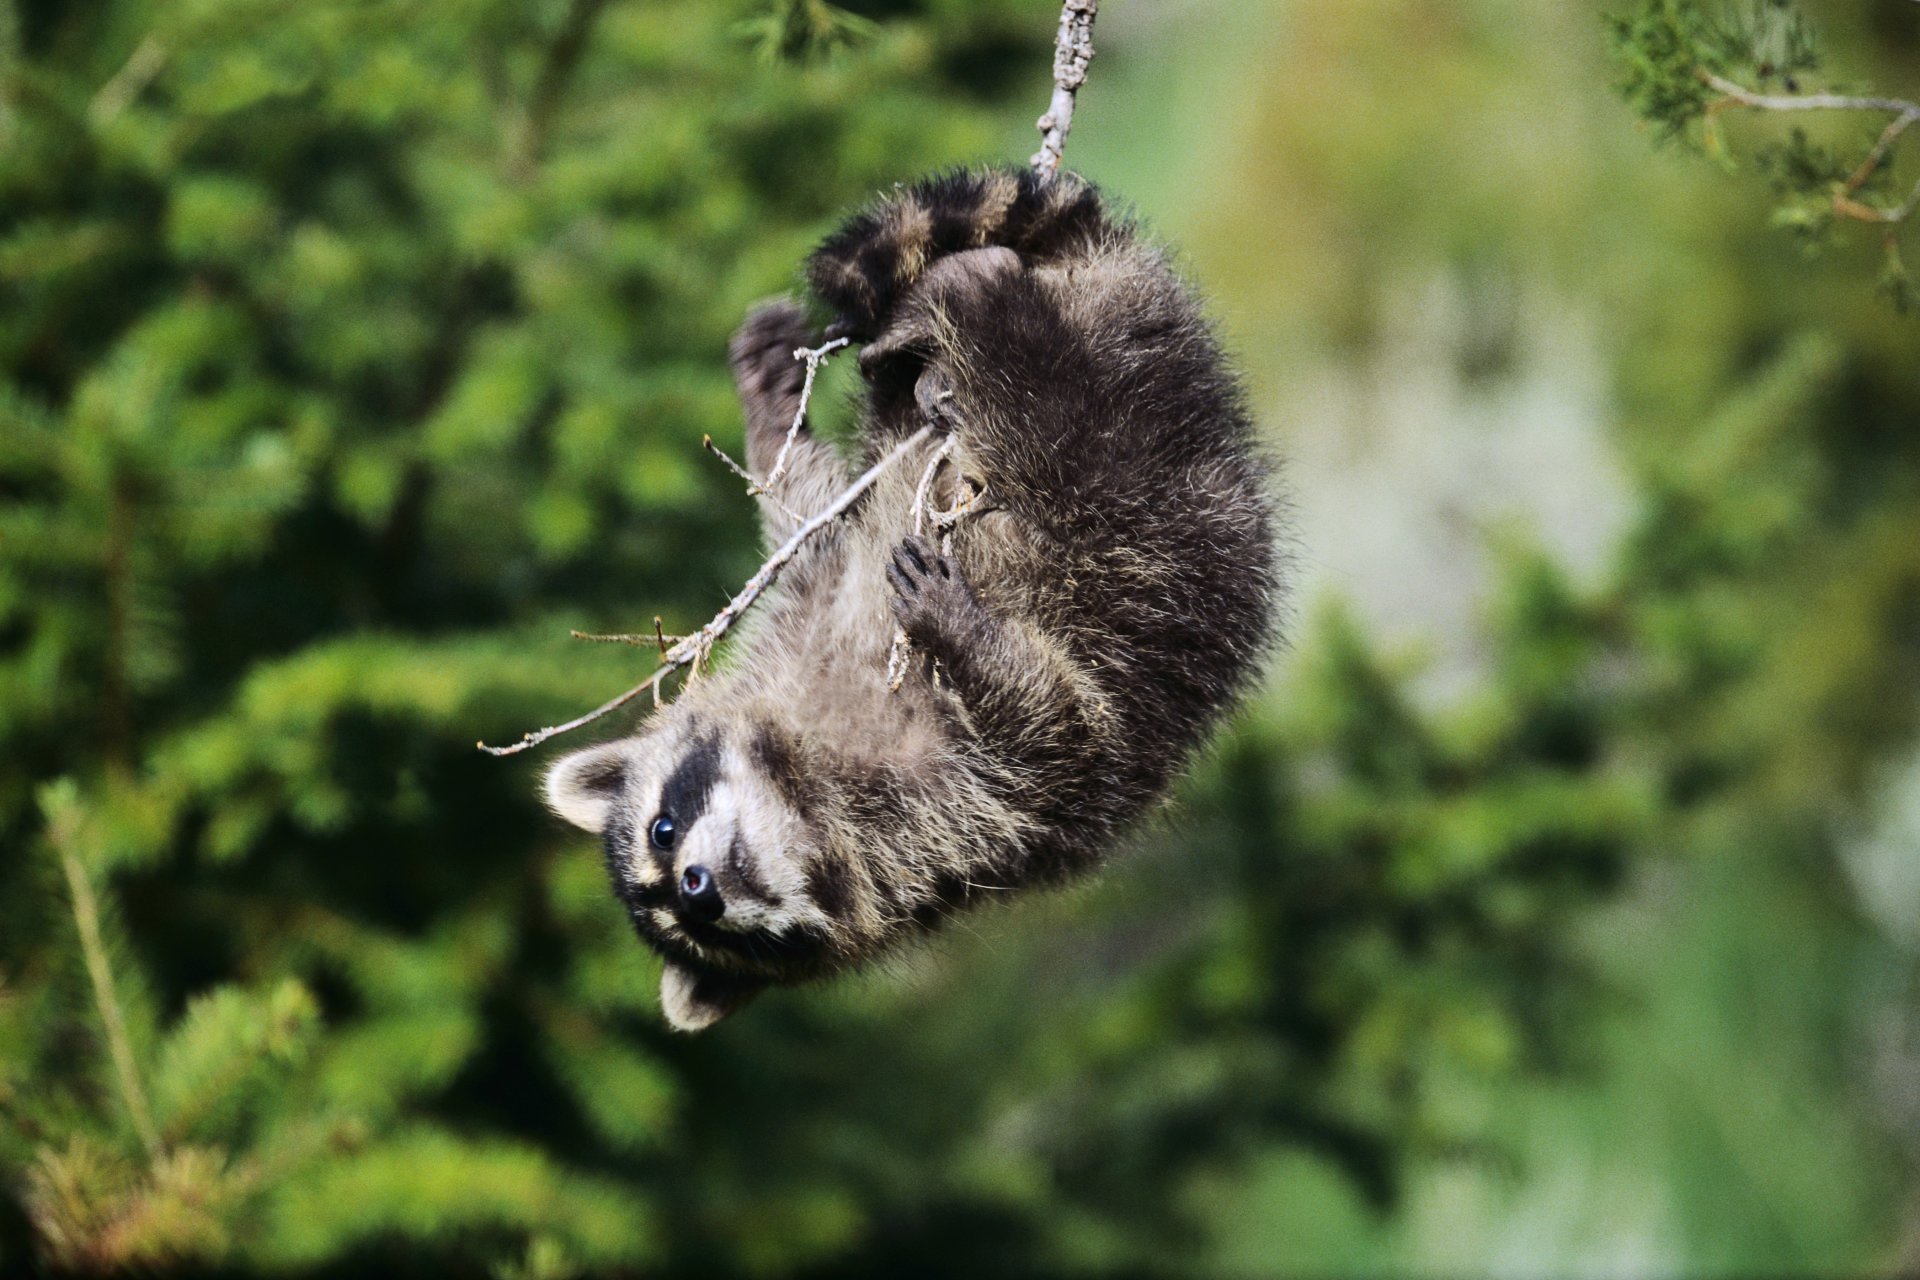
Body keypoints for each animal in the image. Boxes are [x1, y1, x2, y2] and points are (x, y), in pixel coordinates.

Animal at [549, 167, 1282, 1028]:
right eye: (700, 931)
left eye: (663, 832)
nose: (698, 892)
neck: (802, 788)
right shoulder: (969, 831)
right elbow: (1054, 736)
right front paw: (973, 642)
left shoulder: (814, 613)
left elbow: (814, 518)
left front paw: (768, 411)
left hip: (1133, 447)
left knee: (1052, 416)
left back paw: (969, 296)